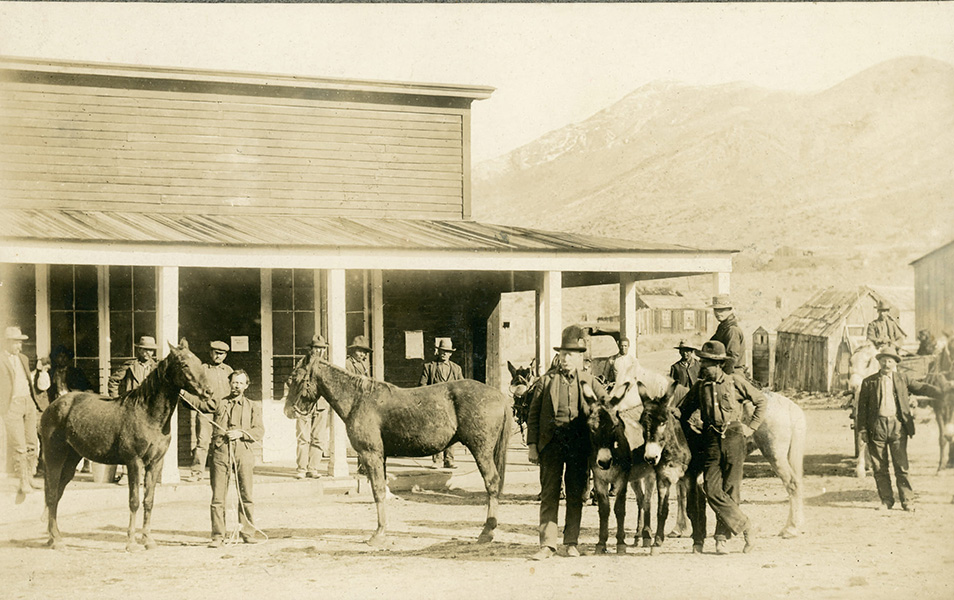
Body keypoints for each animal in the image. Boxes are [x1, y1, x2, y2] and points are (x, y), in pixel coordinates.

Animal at [39, 340, 210, 552]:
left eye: (200, 362)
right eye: (184, 364)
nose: (208, 392)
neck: (147, 414)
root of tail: (53, 406)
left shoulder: (156, 463)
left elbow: (149, 500)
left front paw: (148, 540)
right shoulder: (134, 462)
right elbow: (134, 501)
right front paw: (131, 543)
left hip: (72, 459)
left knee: (57, 493)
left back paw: (52, 537)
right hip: (54, 456)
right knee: (52, 493)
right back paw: (57, 541)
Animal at [282, 356, 510, 548]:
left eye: (294, 378)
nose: (288, 411)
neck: (359, 399)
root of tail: (499, 396)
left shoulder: (371, 454)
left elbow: (377, 491)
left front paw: (378, 534)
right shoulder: (380, 457)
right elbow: (382, 489)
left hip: (481, 450)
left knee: (491, 483)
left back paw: (487, 532)